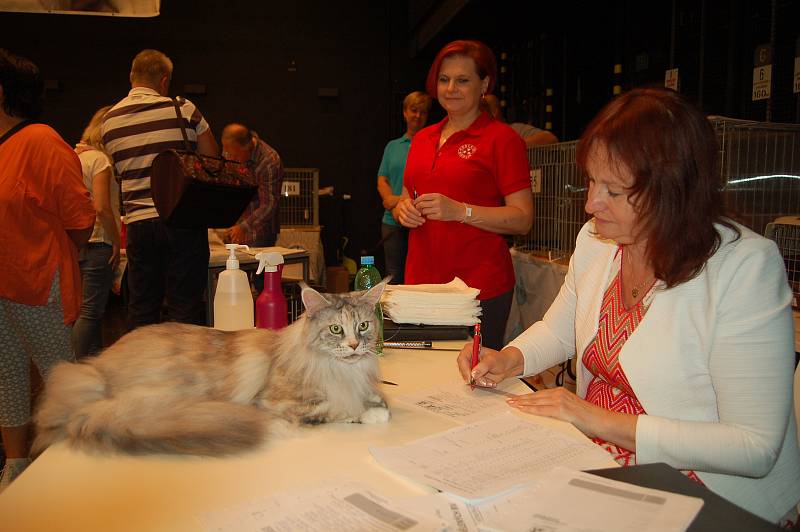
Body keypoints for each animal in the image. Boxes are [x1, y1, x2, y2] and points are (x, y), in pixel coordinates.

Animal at [34, 282, 390, 458]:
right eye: (335, 330)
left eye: (362, 326)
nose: (354, 346)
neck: (340, 370)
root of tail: (96, 368)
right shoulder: (276, 400)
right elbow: (338, 408)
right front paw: (368, 414)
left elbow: (377, 399)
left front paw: (378, 405)